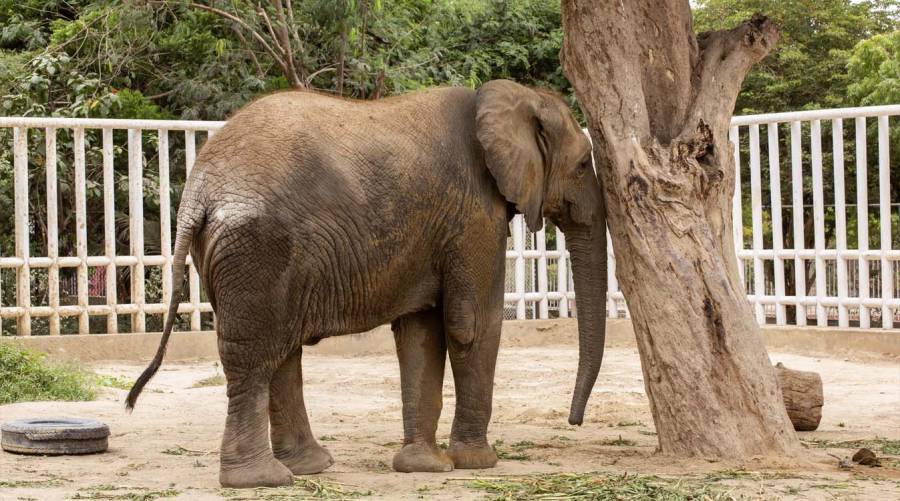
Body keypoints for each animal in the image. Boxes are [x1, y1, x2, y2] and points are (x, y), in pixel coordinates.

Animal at [125, 79, 608, 488]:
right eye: (584, 165)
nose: (574, 421)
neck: (505, 98)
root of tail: (199, 189)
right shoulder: (474, 215)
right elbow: (471, 326)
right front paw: (477, 463)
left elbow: (420, 332)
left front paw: (424, 467)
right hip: (257, 246)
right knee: (257, 354)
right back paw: (261, 479)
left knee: (280, 350)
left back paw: (307, 467)